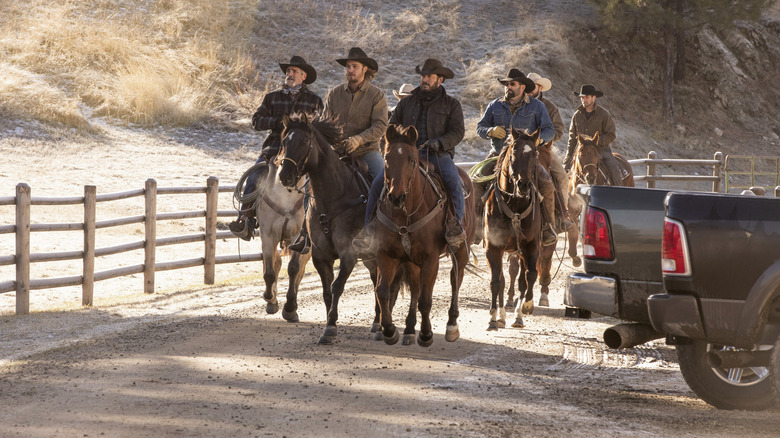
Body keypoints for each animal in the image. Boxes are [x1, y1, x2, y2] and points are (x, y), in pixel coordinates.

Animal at [374, 125, 476, 348]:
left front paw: (426, 334)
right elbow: (383, 291)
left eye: (412, 160)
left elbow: (426, 300)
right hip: (412, 261)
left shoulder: (431, 259)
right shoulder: (386, 255)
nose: (396, 196)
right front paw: (389, 331)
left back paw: (451, 325)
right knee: (414, 288)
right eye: (386, 158)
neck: (405, 214)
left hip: (461, 250)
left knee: (455, 280)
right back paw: (409, 330)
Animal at [482, 128, 544, 330]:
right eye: (514, 153)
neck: (515, 204)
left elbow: (529, 277)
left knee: (522, 279)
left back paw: (517, 316)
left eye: (535, 154)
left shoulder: (531, 246)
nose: (523, 185)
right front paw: (492, 319)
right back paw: (501, 317)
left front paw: (525, 307)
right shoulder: (493, 248)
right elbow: (495, 282)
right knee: (501, 280)